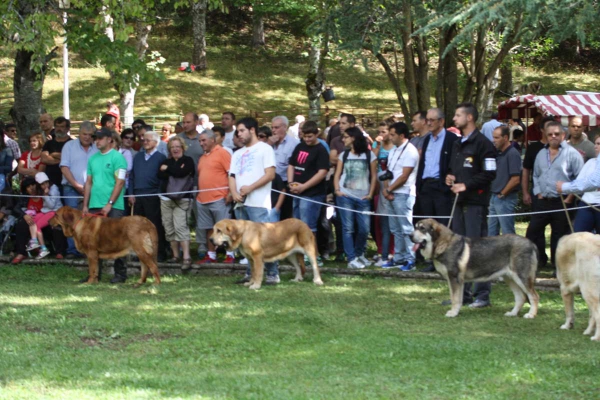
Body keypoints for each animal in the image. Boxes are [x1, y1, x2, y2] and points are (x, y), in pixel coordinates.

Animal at [412, 219, 540, 318]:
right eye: (415, 227)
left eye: (422, 228)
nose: (409, 235)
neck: (443, 244)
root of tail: (531, 243)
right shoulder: (453, 280)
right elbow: (455, 297)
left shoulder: (455, 279)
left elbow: (455, 298)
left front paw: (453, 313)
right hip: (510, 278)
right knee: (521, 297)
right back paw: (512, 313)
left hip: (522, 277)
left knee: (534, 296)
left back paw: (531, 315)